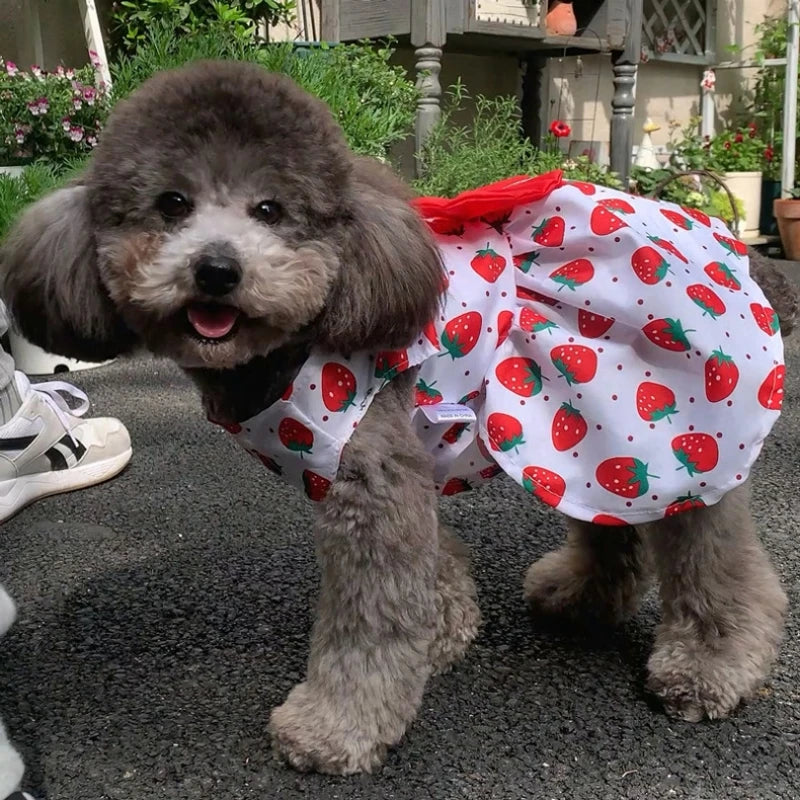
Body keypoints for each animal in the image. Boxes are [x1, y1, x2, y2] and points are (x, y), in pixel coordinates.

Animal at [1, 62, 792, 776]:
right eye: (171, 203)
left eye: (270, 210)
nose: (217, 270)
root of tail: (720, 234)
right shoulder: (399, 474)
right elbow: (427, 576)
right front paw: (445, 632)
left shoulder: (373, 479)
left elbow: (370, 626)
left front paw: (334, 731)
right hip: (586, 434)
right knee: (611, 519)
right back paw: (583, 596)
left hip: (674, 423)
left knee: (718, 557)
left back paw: (711, 667)